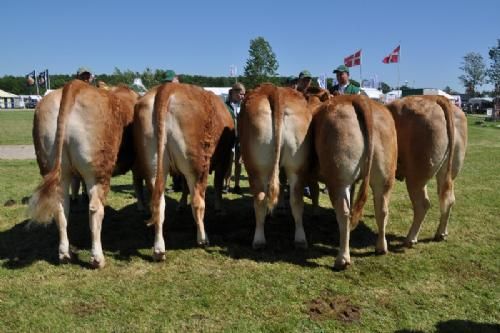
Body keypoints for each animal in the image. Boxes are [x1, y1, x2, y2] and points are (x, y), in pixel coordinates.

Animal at [29, 80, 139, 268]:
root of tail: (74, 85)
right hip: (97, 171)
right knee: (95, 209)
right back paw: (97, 258)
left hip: (56, 169)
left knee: (60, 208)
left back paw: (65, 254)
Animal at [133, 82, 234, 260]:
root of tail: (167, 88)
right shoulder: (224, 159)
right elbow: (217, 185)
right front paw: (219, 208)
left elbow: (185, 189)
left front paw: (180, 205)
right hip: (197, 165)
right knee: (198, 202)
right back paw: (203, 238)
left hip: (152, 164)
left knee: (158, 204)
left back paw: (159, 249)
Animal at [239, 84, 316, 248]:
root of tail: (275, 90)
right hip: (297, 165)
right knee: (296, 200)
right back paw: (300, 239)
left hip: (256, 168)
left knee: (260, 200)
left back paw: (259, 240)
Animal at [386, 94, 468, 245]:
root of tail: (436, 98)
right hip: (447, 171)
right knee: (448, 199)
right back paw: (441, 233)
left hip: (416, 174)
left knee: (423, 204)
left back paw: (411, 238)